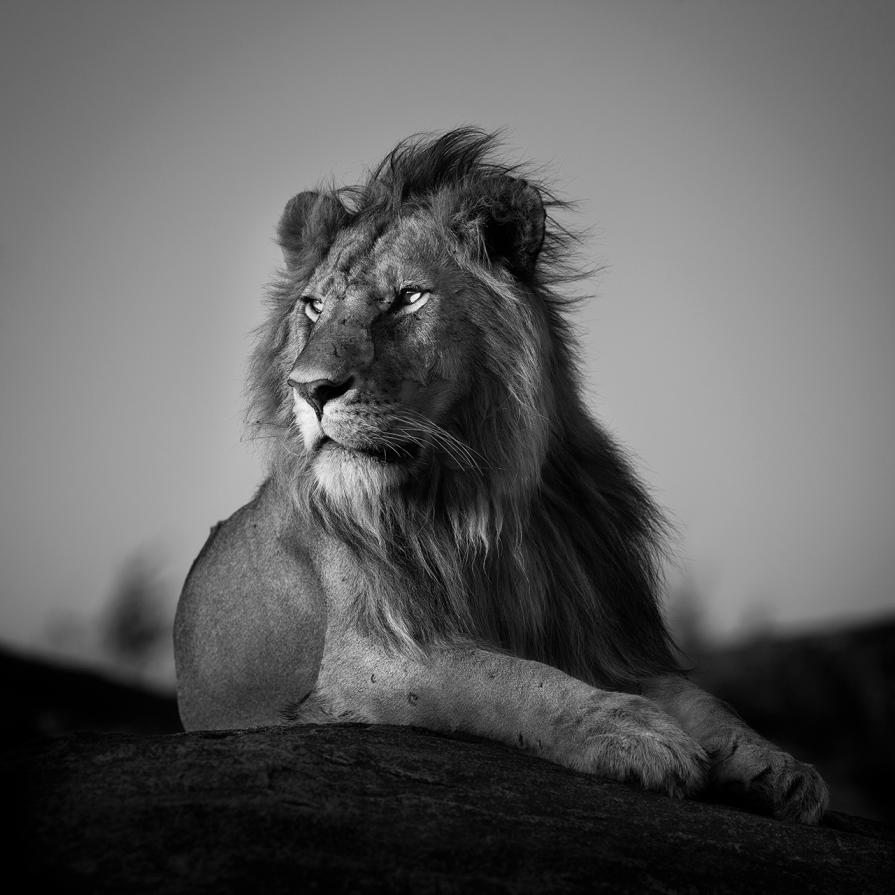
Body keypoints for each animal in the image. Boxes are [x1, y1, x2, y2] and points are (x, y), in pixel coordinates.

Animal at [173, 128, 829, 823]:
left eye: (407, 297)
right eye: (314, 306)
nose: (310, 389)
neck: (473, 502)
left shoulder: (607, 640)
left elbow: (709, 704)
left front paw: (781, 768)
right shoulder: (368, 660)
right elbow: (506, 680)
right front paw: (635, 734)